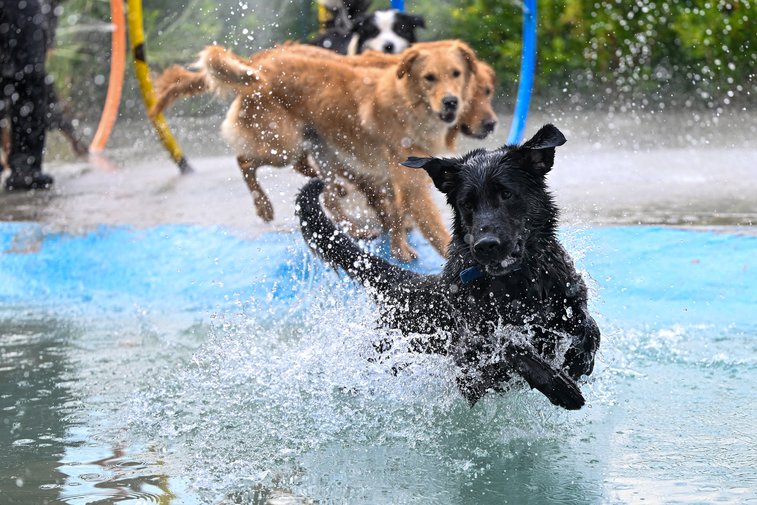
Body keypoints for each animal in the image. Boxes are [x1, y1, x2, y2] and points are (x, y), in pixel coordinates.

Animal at [294, 124, 596, 408]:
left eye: (507, 194)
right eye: (467, 204)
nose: (485, 245)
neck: (517, 282)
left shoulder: (568, 294)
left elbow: (589, 325)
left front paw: (579, 360)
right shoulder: (472, 349)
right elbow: (509, 345)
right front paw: (558, 385)